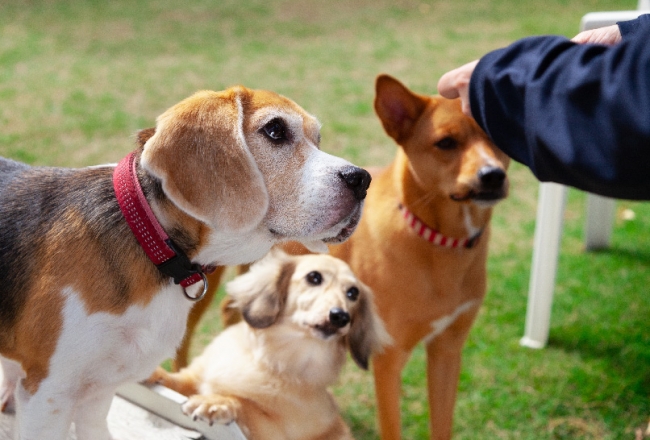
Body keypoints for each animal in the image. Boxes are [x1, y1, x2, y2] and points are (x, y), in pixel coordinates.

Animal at [149, 251, 388, 440]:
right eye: (314, 277)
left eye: (353, 293)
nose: (341, 317)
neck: (267, 360)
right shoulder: (198, 374)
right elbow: (179, 380)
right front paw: (155, 373)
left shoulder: (273, 431)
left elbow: (246, 405)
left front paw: (217, 402)